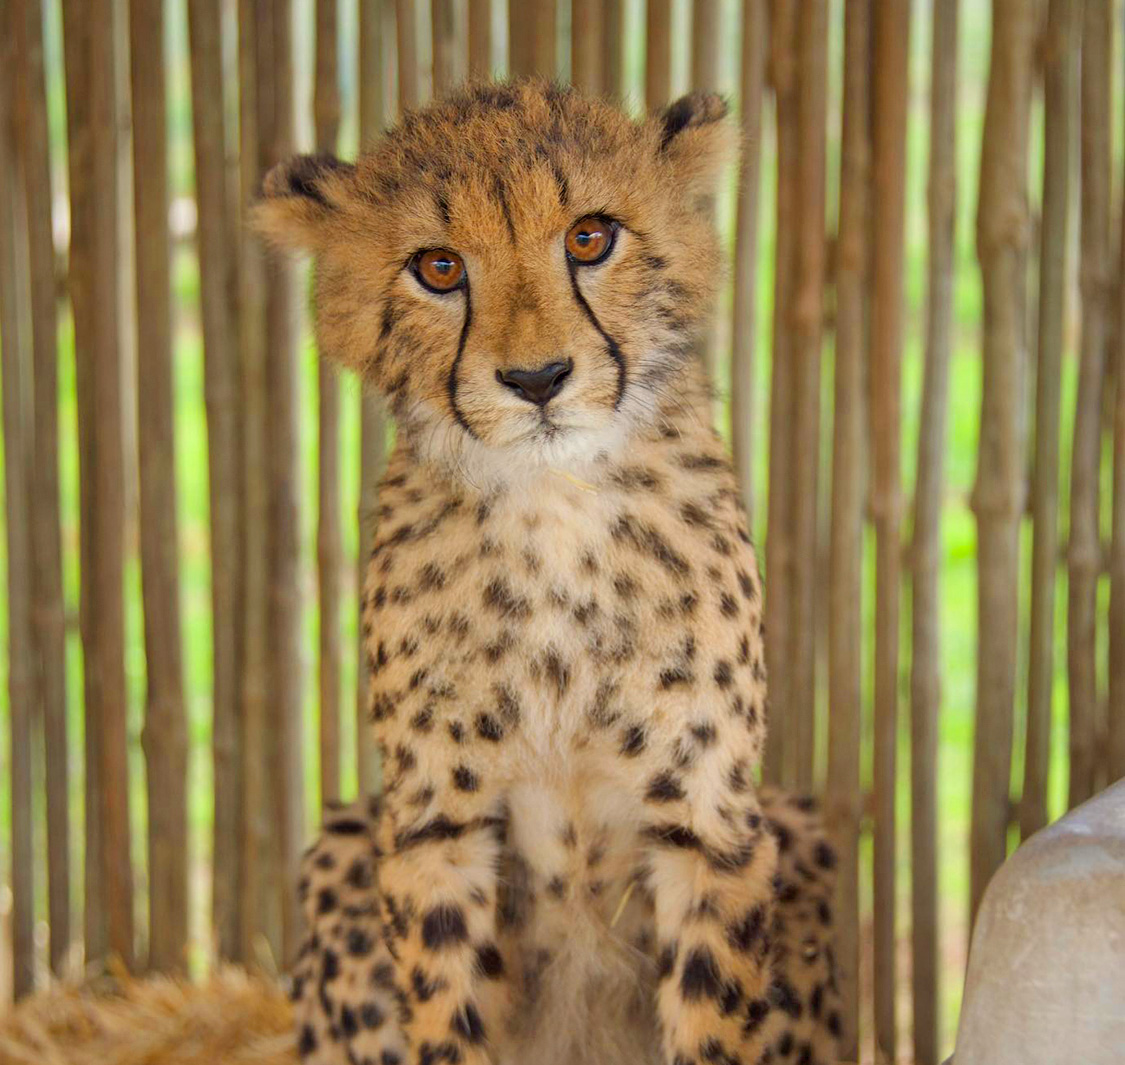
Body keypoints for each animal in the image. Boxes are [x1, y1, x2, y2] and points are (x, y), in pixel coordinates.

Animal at [257, 78, 842, 1065]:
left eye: (589, 238)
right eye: (439, 267)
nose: (537, 379)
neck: (552, 499)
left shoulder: (711, 820)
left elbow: (711, 1015)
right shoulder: (434, 829)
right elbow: (447, 1015)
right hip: (345, 843)